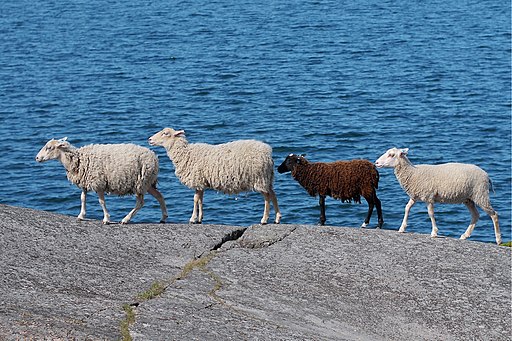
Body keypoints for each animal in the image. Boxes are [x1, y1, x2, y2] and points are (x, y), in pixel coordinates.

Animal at [34, 137, 170, 224]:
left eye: (49, 148)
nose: (37, 158)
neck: (77, 159)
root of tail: (154, 157)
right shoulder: (85, 182)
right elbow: (82, 198)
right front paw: (81, 215)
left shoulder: (98, 183)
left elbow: (101, 202)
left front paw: (106, 219)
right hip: (147, 183)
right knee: (159, 196)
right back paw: (163, 218)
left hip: (141, 183)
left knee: (140, 203)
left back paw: (125, 219)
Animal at [148, 127, 284, 223]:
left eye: (165, 133)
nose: (149, 139)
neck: (186, 153)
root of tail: (268, 153)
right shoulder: (201, 182)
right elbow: (200, 199)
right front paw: (200, 218)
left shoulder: (197, 179)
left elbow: (195, 199)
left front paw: (193, 218)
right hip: (267, 178)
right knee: (273, 194)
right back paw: (277, 218)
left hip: (259, 178)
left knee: (267, 197)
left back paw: (264, 219)